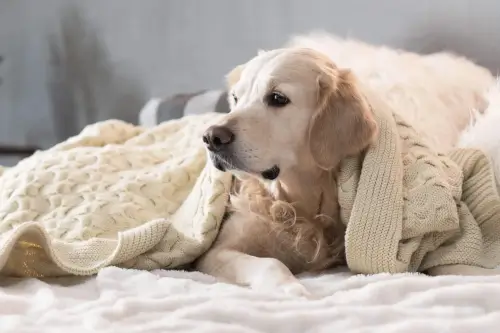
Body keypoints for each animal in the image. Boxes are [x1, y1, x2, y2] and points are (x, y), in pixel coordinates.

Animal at [194, 44, 492, 296]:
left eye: (277, 98)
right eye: (236, 98)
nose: (211, 137)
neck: (302, 202)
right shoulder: (215, 252)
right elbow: (270, 262)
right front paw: (291, 289)